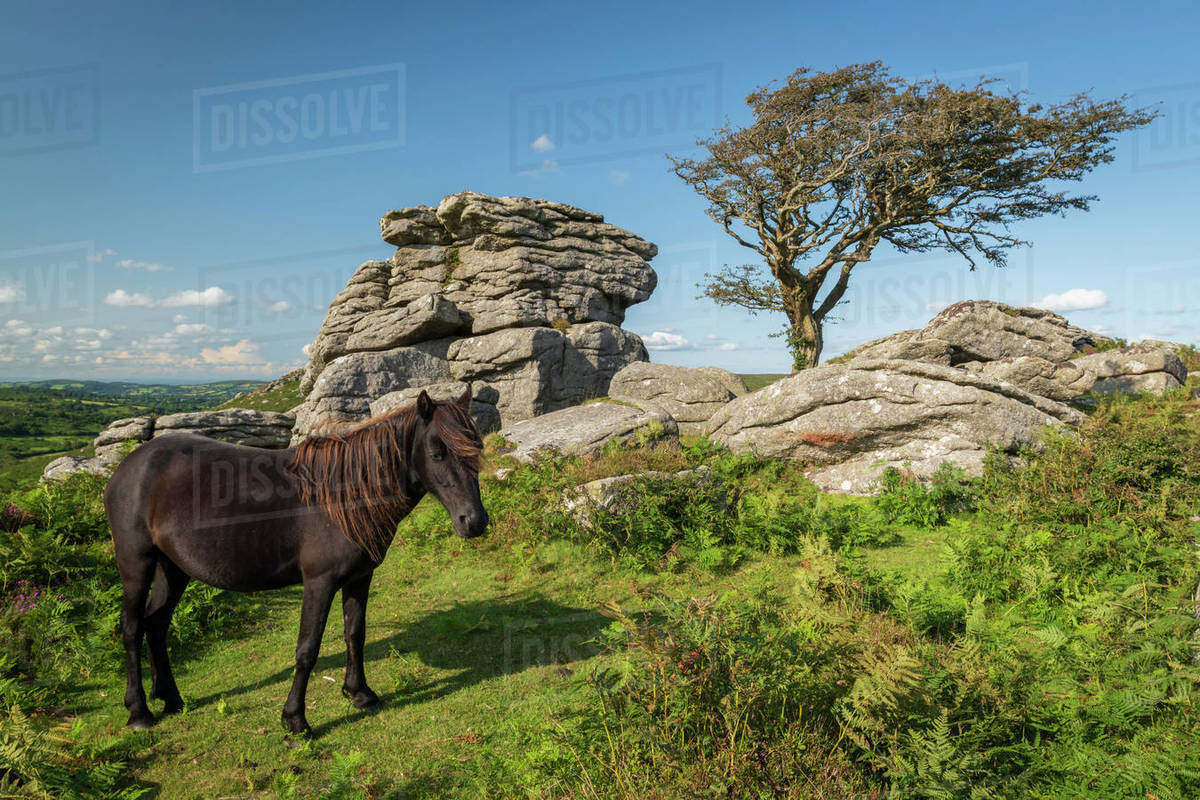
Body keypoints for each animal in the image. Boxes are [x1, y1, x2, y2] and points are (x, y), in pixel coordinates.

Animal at [104, 386, 488, 736]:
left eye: (477, 448)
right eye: (437, 453)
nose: (474, 521)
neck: (343, 498)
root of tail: (128, 466)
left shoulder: (359, 578)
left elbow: (355, 633)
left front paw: (359, 693)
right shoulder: (319, 582)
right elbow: (308, 648)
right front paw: (295, 720)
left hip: (174, 568)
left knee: (156, 623)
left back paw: (171, 698)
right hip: (136, 564)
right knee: (133, 627)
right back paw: (139, 712)